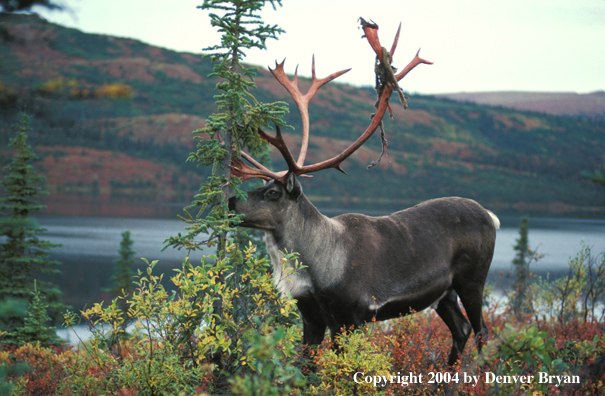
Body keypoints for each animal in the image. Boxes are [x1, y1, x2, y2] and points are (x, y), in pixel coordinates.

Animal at [226, 19, 496, 366]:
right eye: (259, 185)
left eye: (274, 193)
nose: (231, 201)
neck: (319, 269)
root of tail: (491, 216)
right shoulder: (311, 317)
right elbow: (305, 367)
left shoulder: (351, 317)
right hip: (443, 293)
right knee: (461, 329)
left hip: (472, 279)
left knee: (481, 331)